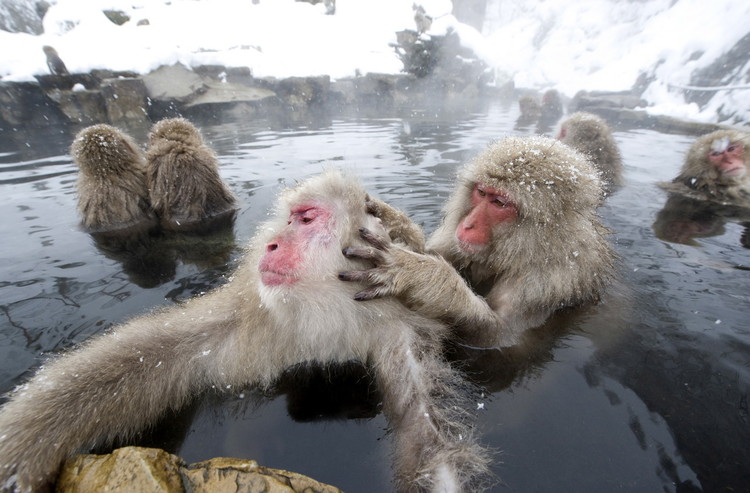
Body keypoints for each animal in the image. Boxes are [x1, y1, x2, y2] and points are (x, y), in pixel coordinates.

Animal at [0, 170, 490, 492]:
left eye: (306, 220)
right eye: (289, 219)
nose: (272, 244)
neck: (327, 311)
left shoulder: (400, 336)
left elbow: (427, 438)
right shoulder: (243, 323)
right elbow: (136, 361)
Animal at [344, 136, 620, 348]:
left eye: (499, 203)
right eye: (481, 192)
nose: (467, 224)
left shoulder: (547, 280)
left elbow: (498, 337)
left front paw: (419, 275)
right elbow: (435, 251)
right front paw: (396, 223)